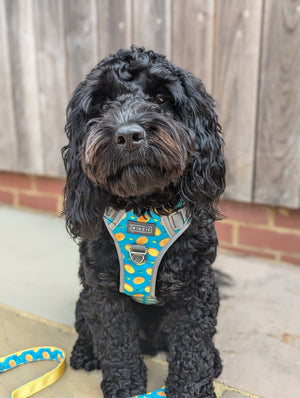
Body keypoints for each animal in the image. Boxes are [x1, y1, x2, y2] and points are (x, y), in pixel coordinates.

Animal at [62, 47, 225, 398]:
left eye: (161, 97)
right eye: (102, 104)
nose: (128, 135)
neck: (144, 209)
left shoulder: (195, 291)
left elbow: (193, 350)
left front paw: (191, 389)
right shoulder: (104, 292)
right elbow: (116, 345)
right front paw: (126, 387)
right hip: (85, 298)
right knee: (87, 328)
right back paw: (84, 352)